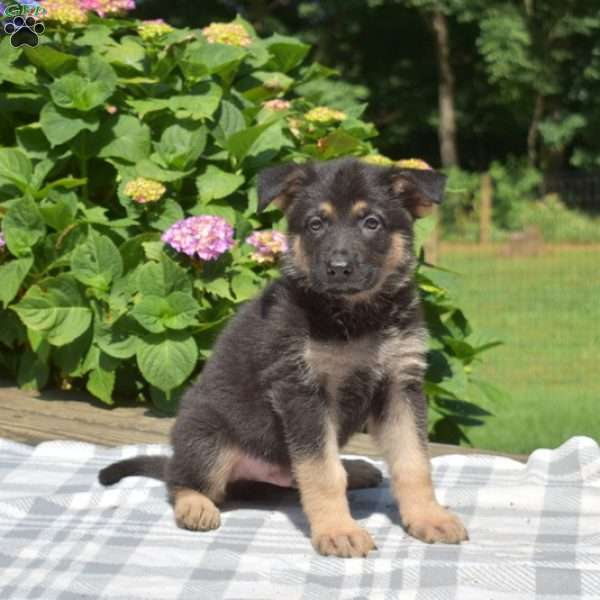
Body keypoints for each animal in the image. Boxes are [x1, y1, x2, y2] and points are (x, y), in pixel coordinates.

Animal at [101, 157, 468, 556]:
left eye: (372, 223)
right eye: (316, 223)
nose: (339, 268)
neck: (356, 317)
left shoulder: (400, 385)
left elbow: (414, 462)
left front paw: (428, 517)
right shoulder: (301, 391)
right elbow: (323, 472)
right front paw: (338, 529)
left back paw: (356, 468)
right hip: (208, 440)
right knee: (179, 478)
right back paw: (195, 504)